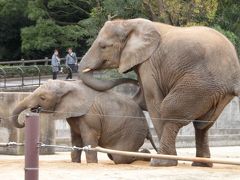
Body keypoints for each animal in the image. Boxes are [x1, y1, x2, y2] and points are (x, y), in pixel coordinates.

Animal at [12, 79, 157, 164]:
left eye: (43, 98)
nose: (23, 122)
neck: (69, 85)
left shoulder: (90, 115)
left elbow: (88, 137)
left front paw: (92, 164)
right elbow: (76, 138)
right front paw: (75, 163)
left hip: (132, 131)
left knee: (120, 157)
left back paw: (147, 154)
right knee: (113, 155)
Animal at [79, 18, 240, 167]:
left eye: (103, 46)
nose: (134, 82)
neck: (129, 23)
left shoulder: (149, 64)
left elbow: (153, 102)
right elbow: (141, 100)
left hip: (199, 84)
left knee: (170, 110)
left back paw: (162, 162)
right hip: (215, 93)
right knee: (202, 125)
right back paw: (200, 164)